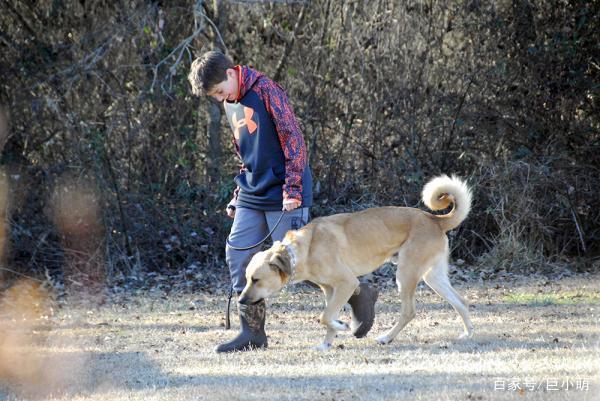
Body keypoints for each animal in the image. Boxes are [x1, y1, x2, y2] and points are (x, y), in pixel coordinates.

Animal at [239, 173, 474, 348]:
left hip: (406, 274)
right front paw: (327, 343)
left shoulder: (347, 283)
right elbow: (328, 318)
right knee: (461, 301)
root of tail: (435, 219)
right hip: (433, 278)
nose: (240, 300)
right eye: (247, 279)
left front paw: (343, 327)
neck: (302, 251)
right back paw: (467, 334)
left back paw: (386, 338)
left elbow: (325, 316)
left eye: (256, 279)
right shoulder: (330, 289)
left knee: (409, 312)